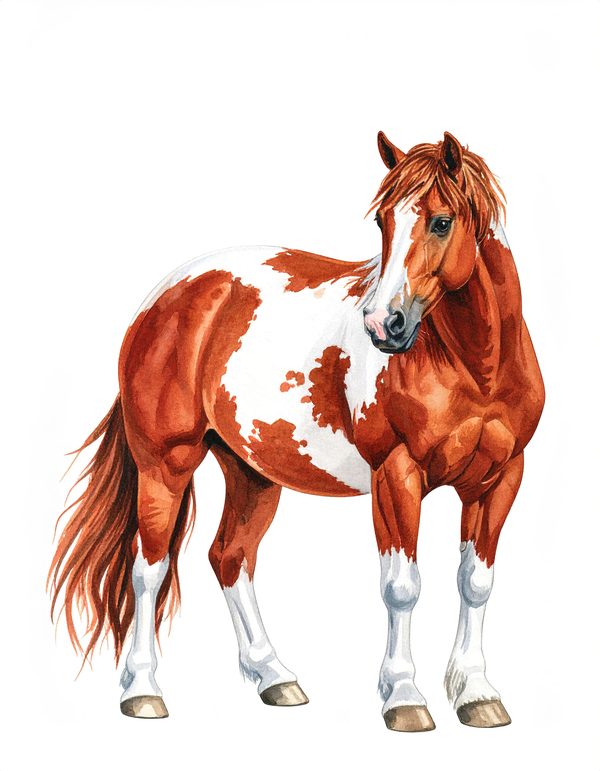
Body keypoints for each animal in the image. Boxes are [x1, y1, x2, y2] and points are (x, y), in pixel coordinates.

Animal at [49, 131, 544, 731]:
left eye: (442, 221)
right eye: (382, 221)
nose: (383, 325)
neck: (477, 367)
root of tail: (167, 296)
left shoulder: (500, 478)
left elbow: (475, 582)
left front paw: (476, 694)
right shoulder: (396, 475)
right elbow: (402, 587)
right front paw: (404, 697)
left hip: (252, 471)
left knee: (230, 557)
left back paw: (275, 677)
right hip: (165, 464)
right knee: (150, 567)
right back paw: (143, 691)